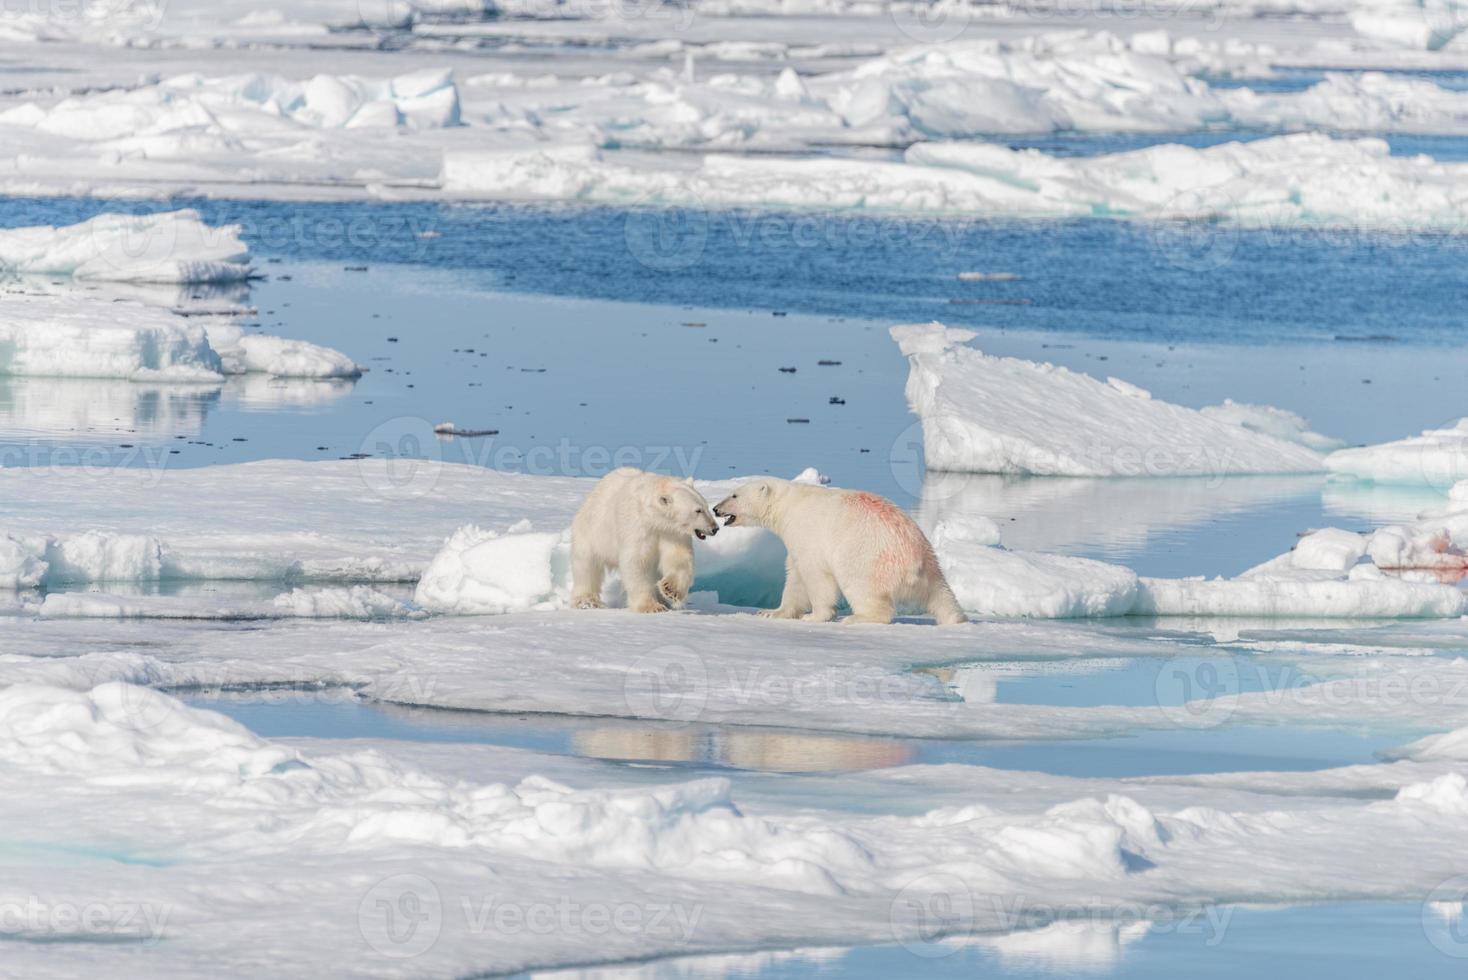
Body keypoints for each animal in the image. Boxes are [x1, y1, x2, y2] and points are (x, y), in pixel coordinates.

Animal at [569, 466, 719, 613]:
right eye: (698, 510)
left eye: (706, 506)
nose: (715, 528)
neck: (654, 518)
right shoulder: (637, 527)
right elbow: (637, 562)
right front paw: (651, 607)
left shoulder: (672, 532)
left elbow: (678, 557)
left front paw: (670, 589)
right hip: (591, 531)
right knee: (586, 565)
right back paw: (587, 601)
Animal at [707, 478, 963, 624]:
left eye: (734, 494)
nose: (716, 508)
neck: (789, 505)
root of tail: (912, 560)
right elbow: (795, 576)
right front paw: (771, 612)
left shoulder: (808, 532)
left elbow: (815, 576)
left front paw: (815, 615)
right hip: (931, 562)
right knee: (941, 595)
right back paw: (956, 619)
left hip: (866, 558)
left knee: (861, 588)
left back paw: (857, 617)